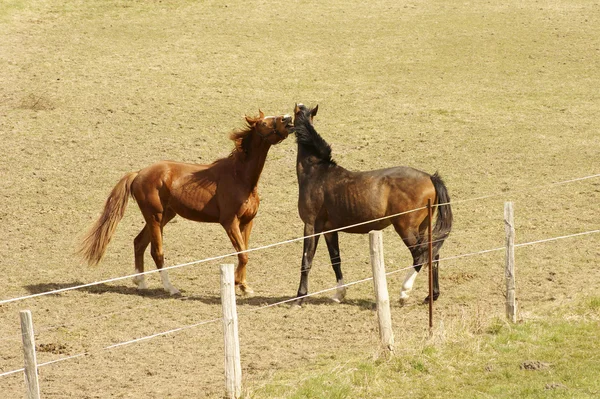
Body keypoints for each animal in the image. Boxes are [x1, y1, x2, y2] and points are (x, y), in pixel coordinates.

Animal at [78, 111, 294, 296]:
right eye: (264, 123)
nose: (288, 119)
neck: (240, 177)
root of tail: (139, 173)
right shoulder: (229, 222)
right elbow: (243, 254)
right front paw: (237, 284)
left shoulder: (247, 222)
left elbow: (245, 253)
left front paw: (244, 286)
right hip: (155, 217)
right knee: (156, 252)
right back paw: (170, 288)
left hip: (164, 216)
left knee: (139, 243)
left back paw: (141, 283)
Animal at [292, 104, 452, 306]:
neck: (316, 172)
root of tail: (430, 177)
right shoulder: (329, 230)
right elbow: (336, 259)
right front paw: (339, 294)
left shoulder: (311, 226)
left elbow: (306, 260)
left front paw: (300, 297)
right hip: (422, 228)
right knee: (433, 254)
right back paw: (431, 296)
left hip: (406, 229)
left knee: (419, 256)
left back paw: (404, 292)